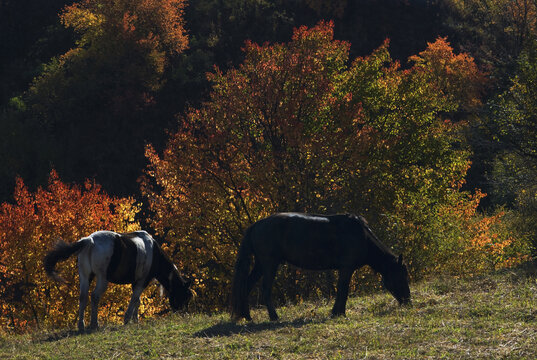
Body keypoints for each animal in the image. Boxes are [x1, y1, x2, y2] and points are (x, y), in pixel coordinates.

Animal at [230, 211, 410, 320]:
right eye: (401, 276)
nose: (408, 301)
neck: (362, 237)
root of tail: (256, 225)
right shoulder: (346, 268)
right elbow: (343, 290)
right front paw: (338, 313)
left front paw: (338, 312)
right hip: (269, 264)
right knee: (265, 288)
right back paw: (274, 317)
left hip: (261, 265)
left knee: (247, 284)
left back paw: (247, 316)